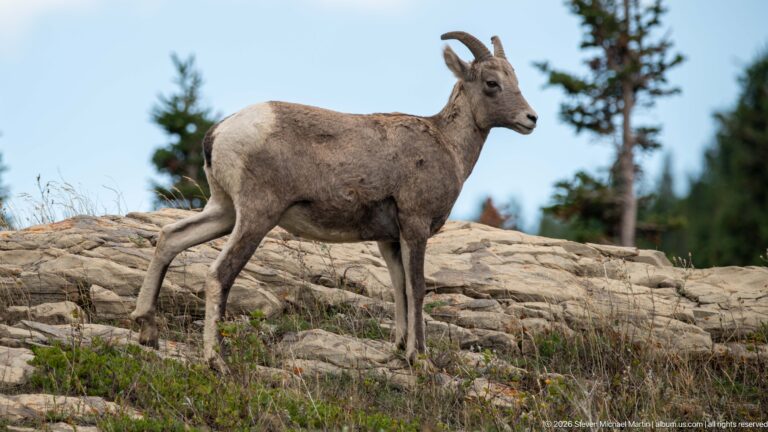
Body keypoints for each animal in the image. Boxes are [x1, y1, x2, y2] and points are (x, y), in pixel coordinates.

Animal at [131, 31, 538, 369]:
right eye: (491, 84)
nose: (531, 119)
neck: (447, 146)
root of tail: (219, 133)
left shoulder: (389, 239)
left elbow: (399, 290)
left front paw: (398, 350)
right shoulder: (415, 225)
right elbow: (417, 289)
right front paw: (419, 359)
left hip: (224, 211)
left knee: (170, 238)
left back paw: (146, 332)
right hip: (256, 216)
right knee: (219, 274)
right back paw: (217, 361)